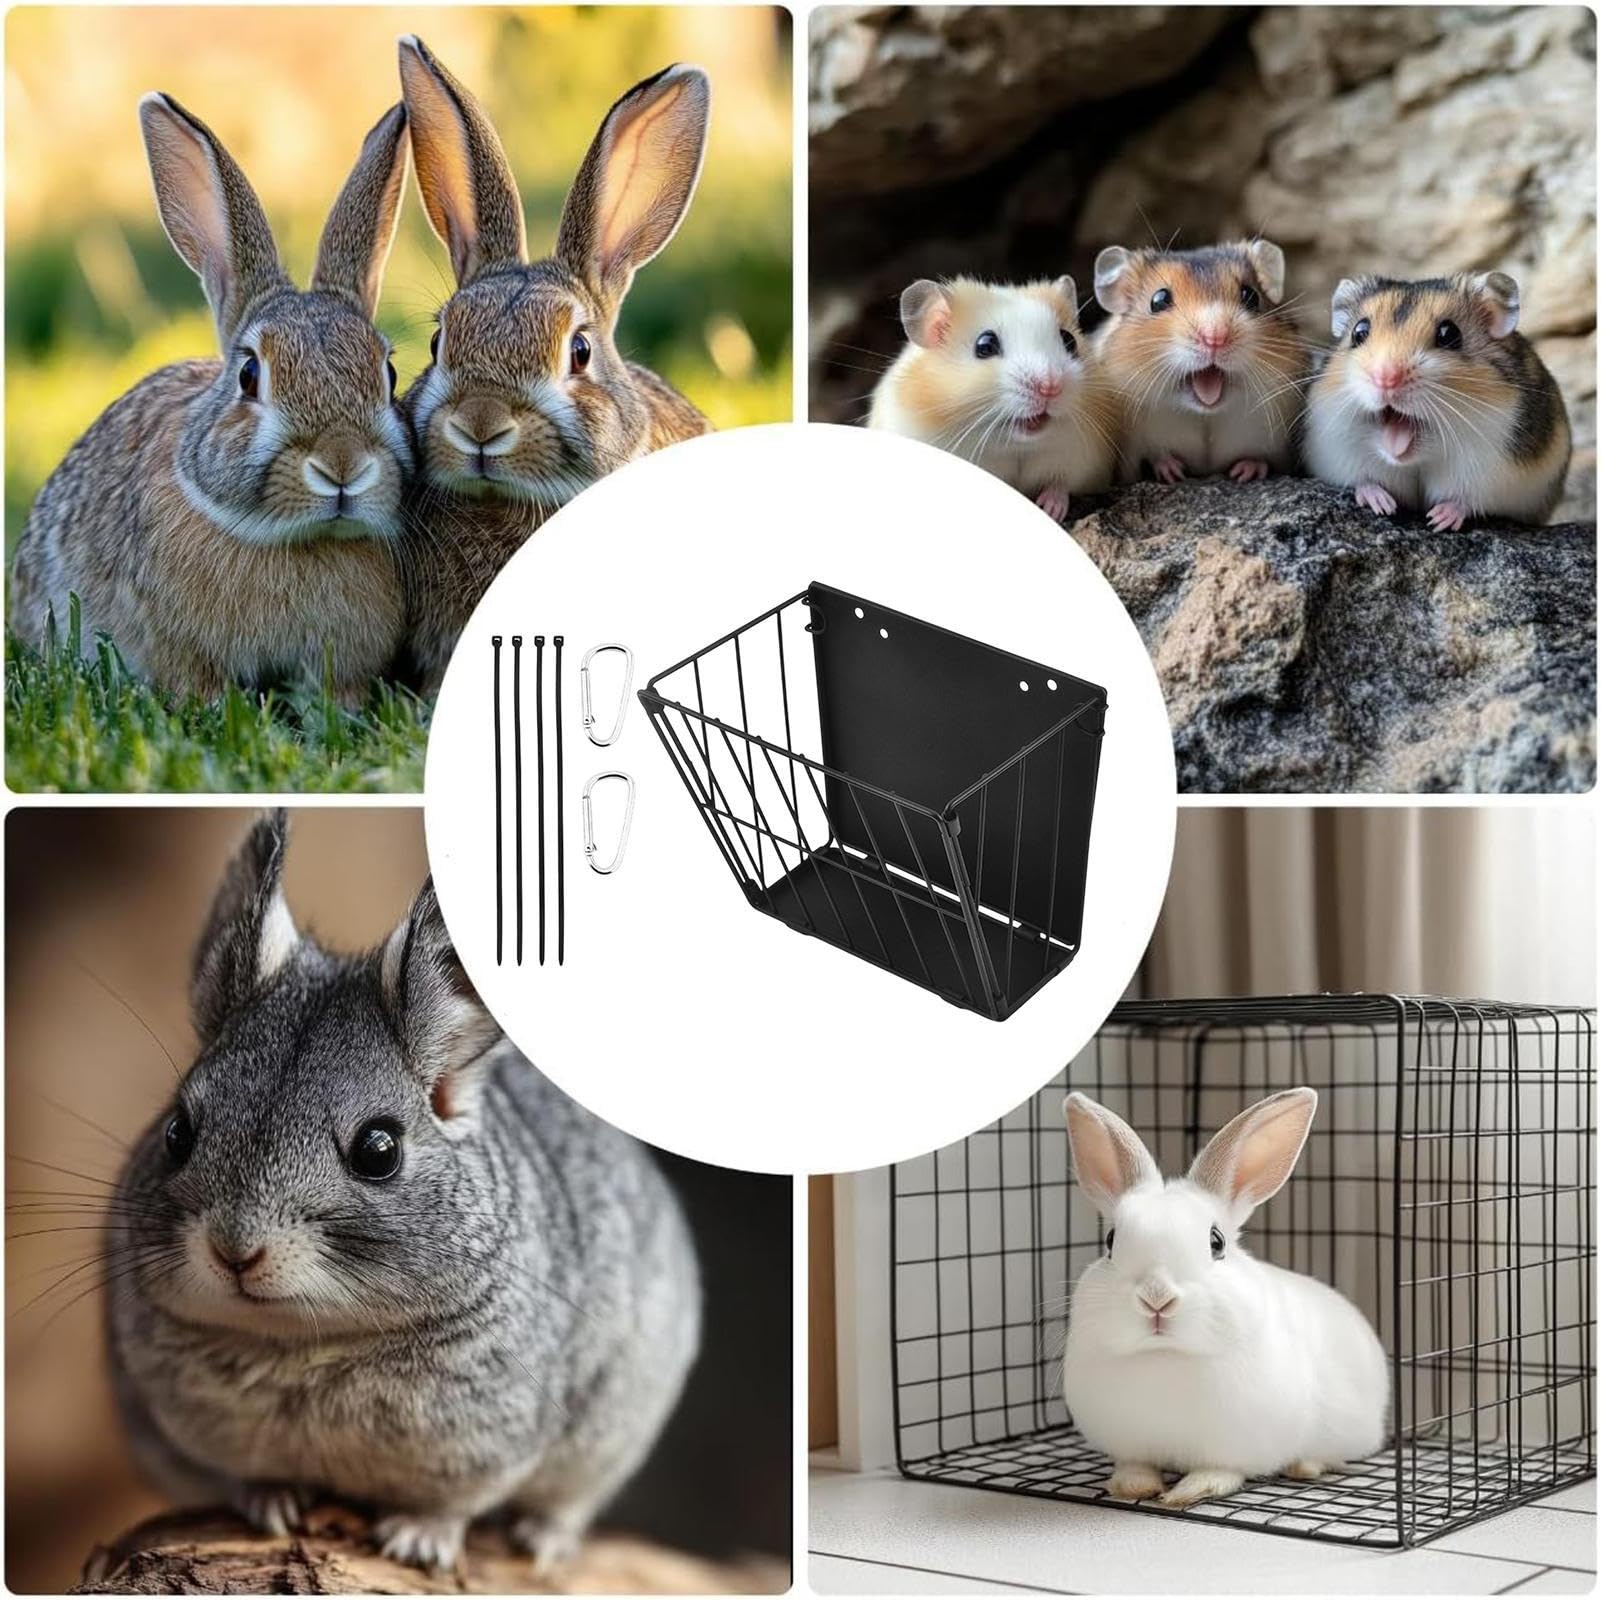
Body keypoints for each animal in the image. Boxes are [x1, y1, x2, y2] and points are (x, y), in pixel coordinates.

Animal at [106, 811, 700, 1573]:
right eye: (179, 1130)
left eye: (378, 1150)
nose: (235, 1250)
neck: (305, 1343)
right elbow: (241, 1475)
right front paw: (272, 1503)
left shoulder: (495, 1440)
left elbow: (451, 1503)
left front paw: (417, 1542)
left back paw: (543, 1542)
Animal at [1060, 1088, 1388, 1509]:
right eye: (1110, 1241)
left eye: (1216, 1242)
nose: (1156, 1298)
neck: (1165, 1357)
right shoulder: (1131, 1446)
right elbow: (1136, 1466)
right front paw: (1133, 1487)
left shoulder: (1236, 1449)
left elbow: (1220, 1472)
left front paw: (1189, 1492)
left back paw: (1305, 1466)